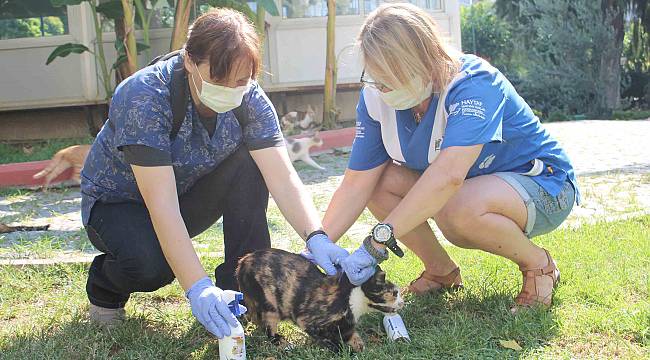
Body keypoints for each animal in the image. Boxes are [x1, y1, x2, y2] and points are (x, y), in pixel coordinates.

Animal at [235, 249, 402, 352]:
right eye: (394, 293)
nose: (402, 302)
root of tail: (243, 261)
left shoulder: (346, 326)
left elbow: (352, 337)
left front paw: (359, 349)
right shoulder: (309, 321)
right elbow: (330, 340)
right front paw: (341, 351)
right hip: (269, 306)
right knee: (268, 328)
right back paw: (283, 344)